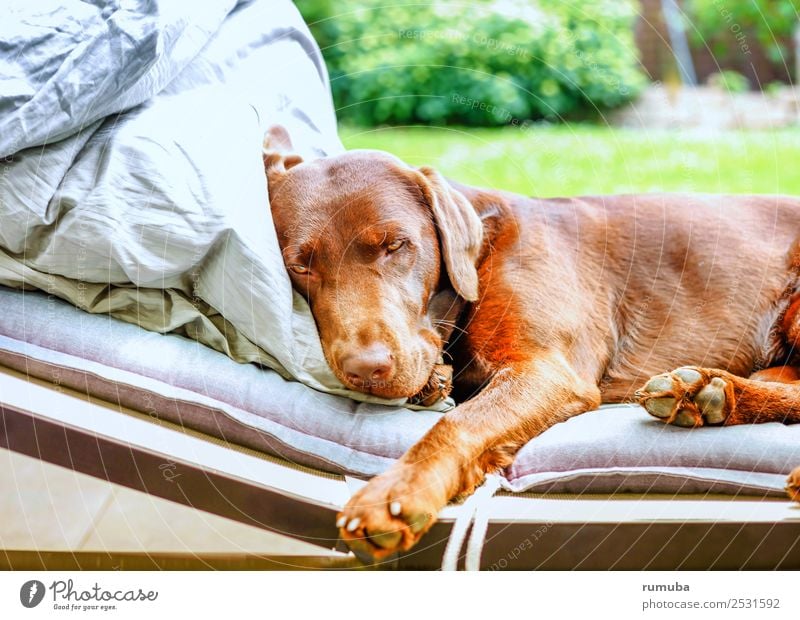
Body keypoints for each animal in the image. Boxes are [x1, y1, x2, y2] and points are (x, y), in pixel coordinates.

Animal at [266, 124, 800, 556]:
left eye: (396, 245)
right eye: (300, 266)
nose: (365, 368)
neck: (481, 256)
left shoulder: (546, 369)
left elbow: (459, 423)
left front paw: (396, 493)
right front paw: (434, 381)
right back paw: (709, 394)